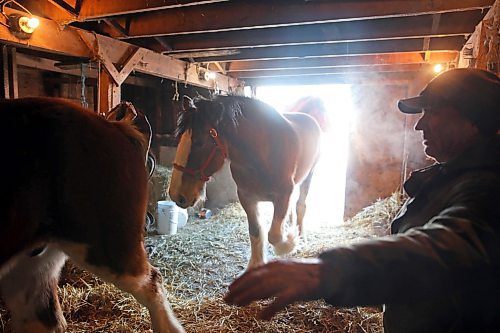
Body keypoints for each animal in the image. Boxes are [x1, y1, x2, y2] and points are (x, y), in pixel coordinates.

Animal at [170, 94, 322, 268]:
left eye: (199, 142)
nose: (176, 194)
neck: (261, 155)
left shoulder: (284, 194)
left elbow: (274, 235)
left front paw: (290, 243)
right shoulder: (247, 197)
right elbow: (256, 232)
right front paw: (256, 264)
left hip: (309, 175)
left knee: (300, 206)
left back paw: (300, 237)